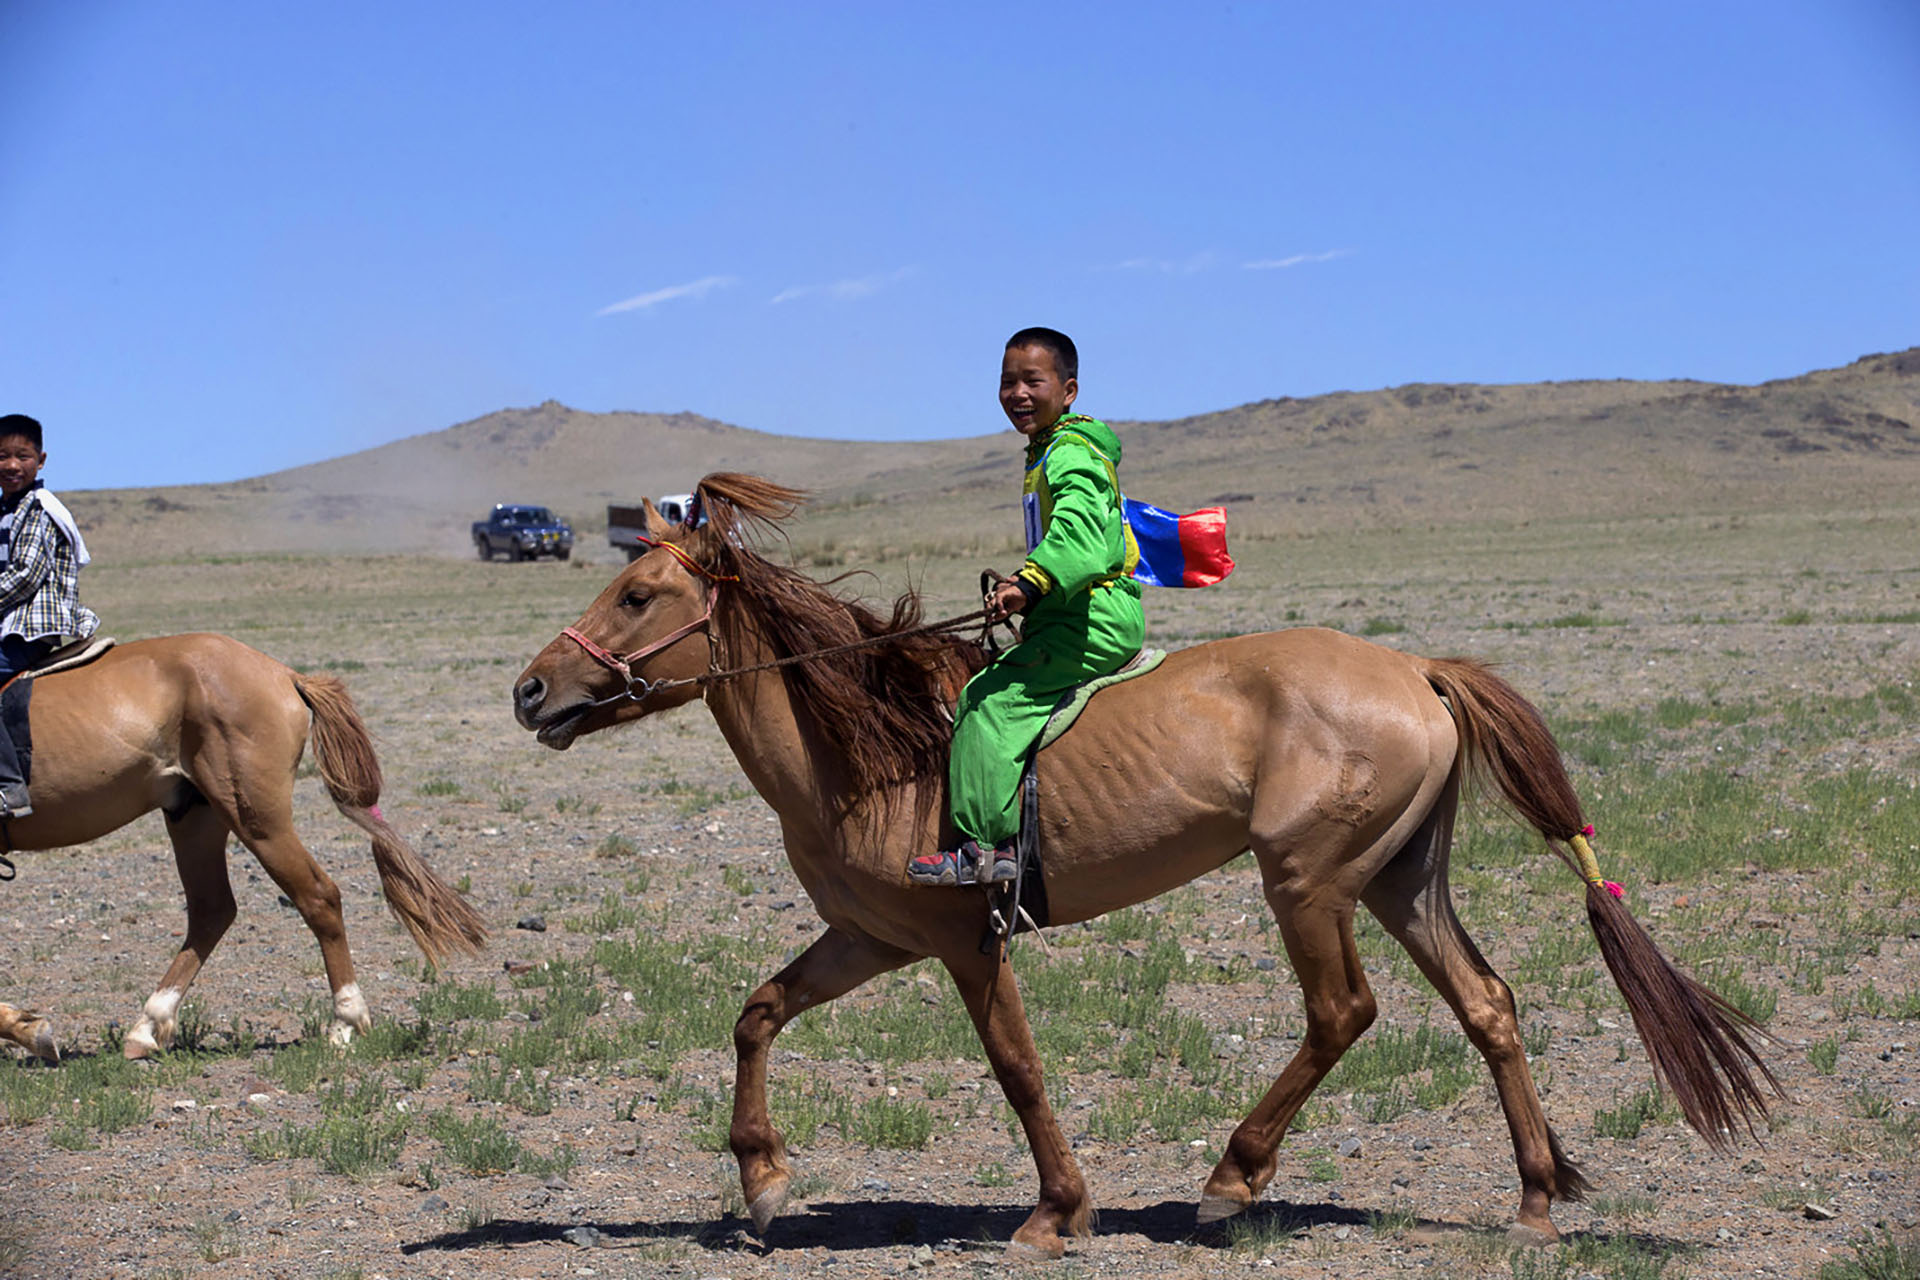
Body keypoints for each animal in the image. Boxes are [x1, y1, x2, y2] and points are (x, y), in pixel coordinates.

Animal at [0, 634, 487, 1061]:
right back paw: (147, 1028)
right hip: (196, 815)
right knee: (213, 909)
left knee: (318, 897)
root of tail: (285, 675)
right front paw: (29, 1029)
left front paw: (28, 1029)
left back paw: (345, 1022)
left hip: (256, 819)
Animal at [510, 473, 1778, 1259]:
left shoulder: (963, 936)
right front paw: (765, 1179)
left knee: (1342, 1011)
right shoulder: (873, 935)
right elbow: (758, 1011)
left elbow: (1018, 1068)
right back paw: (1532, 1199)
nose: (529, 690)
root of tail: (1416, 668)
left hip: (1307, 879)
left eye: (636, 593)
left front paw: (1057, 1210)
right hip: (1398, 878)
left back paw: (1232, 1178)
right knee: (1489, 1003)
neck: (871, 751)